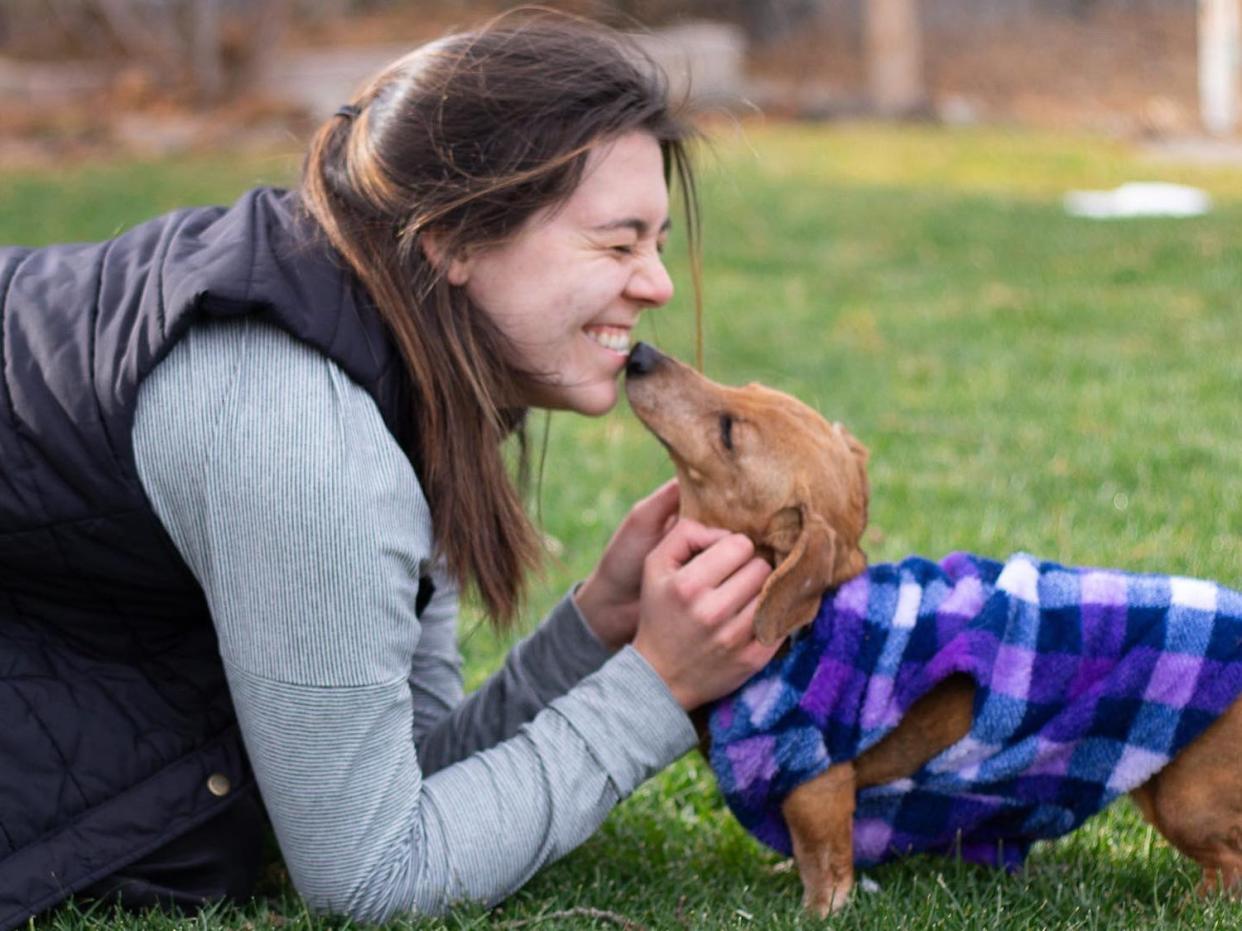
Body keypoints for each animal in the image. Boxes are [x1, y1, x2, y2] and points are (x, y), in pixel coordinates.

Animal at [625, 342, 1242, 918]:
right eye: (744, 387)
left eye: (729, 433)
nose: (638, 354)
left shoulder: (815, 775)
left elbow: (824, 859)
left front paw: (818, 911)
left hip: (1187, 796)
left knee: (1229, 860)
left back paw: (1195, 905)